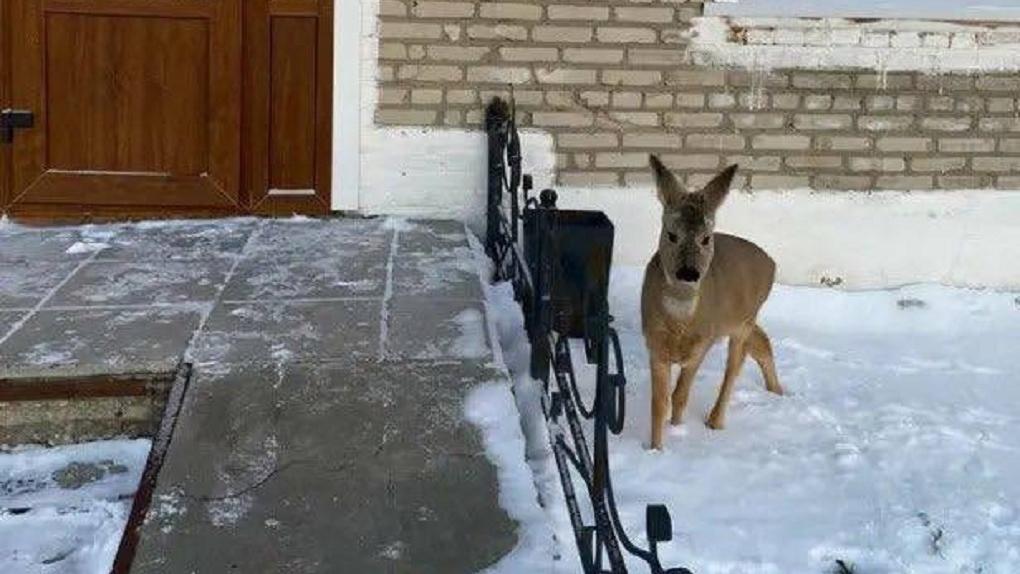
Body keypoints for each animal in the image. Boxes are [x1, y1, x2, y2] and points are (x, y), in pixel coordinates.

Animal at [644, 155, 779, 448]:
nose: (689, 272)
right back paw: (777, 391)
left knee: (735, 367)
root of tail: (771, 262)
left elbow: (679, 397)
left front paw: (678, 429)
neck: (680, 323)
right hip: (742, 320)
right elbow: (659, 403)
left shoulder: (702, 344)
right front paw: (655, 449)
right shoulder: (654, 344)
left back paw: (716, 421)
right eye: (671, 234)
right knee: (761, 342)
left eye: (706, 238)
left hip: (742, 324)